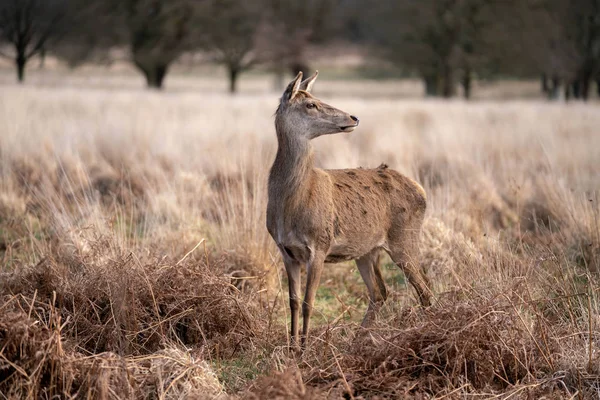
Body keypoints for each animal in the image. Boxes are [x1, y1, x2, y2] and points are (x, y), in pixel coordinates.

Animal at [268, 71, 432, 346]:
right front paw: (291, 346)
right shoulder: (286, 251)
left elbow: (308, 303)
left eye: (316, 99)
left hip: (405, 239)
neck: (289, 205)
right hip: (367, 250)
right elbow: (292, 302)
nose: (354, 118)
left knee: (424, 288)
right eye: (310, 104)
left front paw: (304, 348)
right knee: (380, 292)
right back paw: (357, 340)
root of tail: (422, 191)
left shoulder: (319, 246)